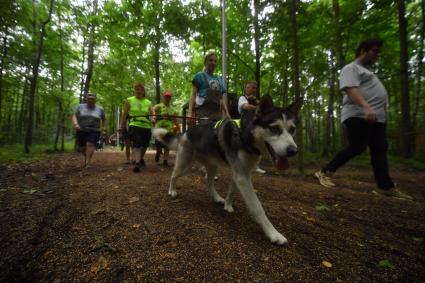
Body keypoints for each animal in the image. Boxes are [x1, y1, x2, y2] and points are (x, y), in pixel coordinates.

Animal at [152, 96, 302, 246]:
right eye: (274, 128)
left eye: (292, 129)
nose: (293, 151)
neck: (244, 134)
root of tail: (185, 132)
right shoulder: (242, 176)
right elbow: (257, 207)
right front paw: (273, 233)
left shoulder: (241, 173)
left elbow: (231, 191)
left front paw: (227, 205)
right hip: (185, 165)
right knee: (173, 176)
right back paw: (172, 191)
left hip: (212, 166)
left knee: (208, 182)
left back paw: (217, 198)